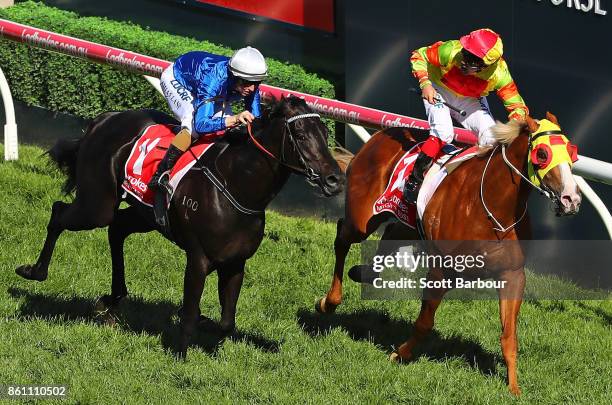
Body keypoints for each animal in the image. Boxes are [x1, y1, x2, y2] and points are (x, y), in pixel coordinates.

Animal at [14, 96, 342, 356]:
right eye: (300, 134)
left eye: (326, 134)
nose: (334, 179)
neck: (235, 184)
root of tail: (105, 118)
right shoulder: (198, 259)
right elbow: (190, 312)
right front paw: (180, 356)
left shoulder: (235, 263)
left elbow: (227, 322)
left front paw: (208, 326)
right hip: (97, 204)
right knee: (60, 213)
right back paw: (34, 271)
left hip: (145, 214)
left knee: (117, 229)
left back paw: (112, 298)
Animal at [318, 113, 580, 394]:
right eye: (542, 153)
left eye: (571, 152)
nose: (571, 199)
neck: (494, 206)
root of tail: (379, 136)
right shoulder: (441, 270)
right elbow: (424, 322)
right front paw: (400, 354)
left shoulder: (512, 275)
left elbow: (509, 335)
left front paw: (513, 388)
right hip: (362, 219)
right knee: (342, 237)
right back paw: (329, 301)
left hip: (408, 221)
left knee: (389, 234)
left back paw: (364, 273)